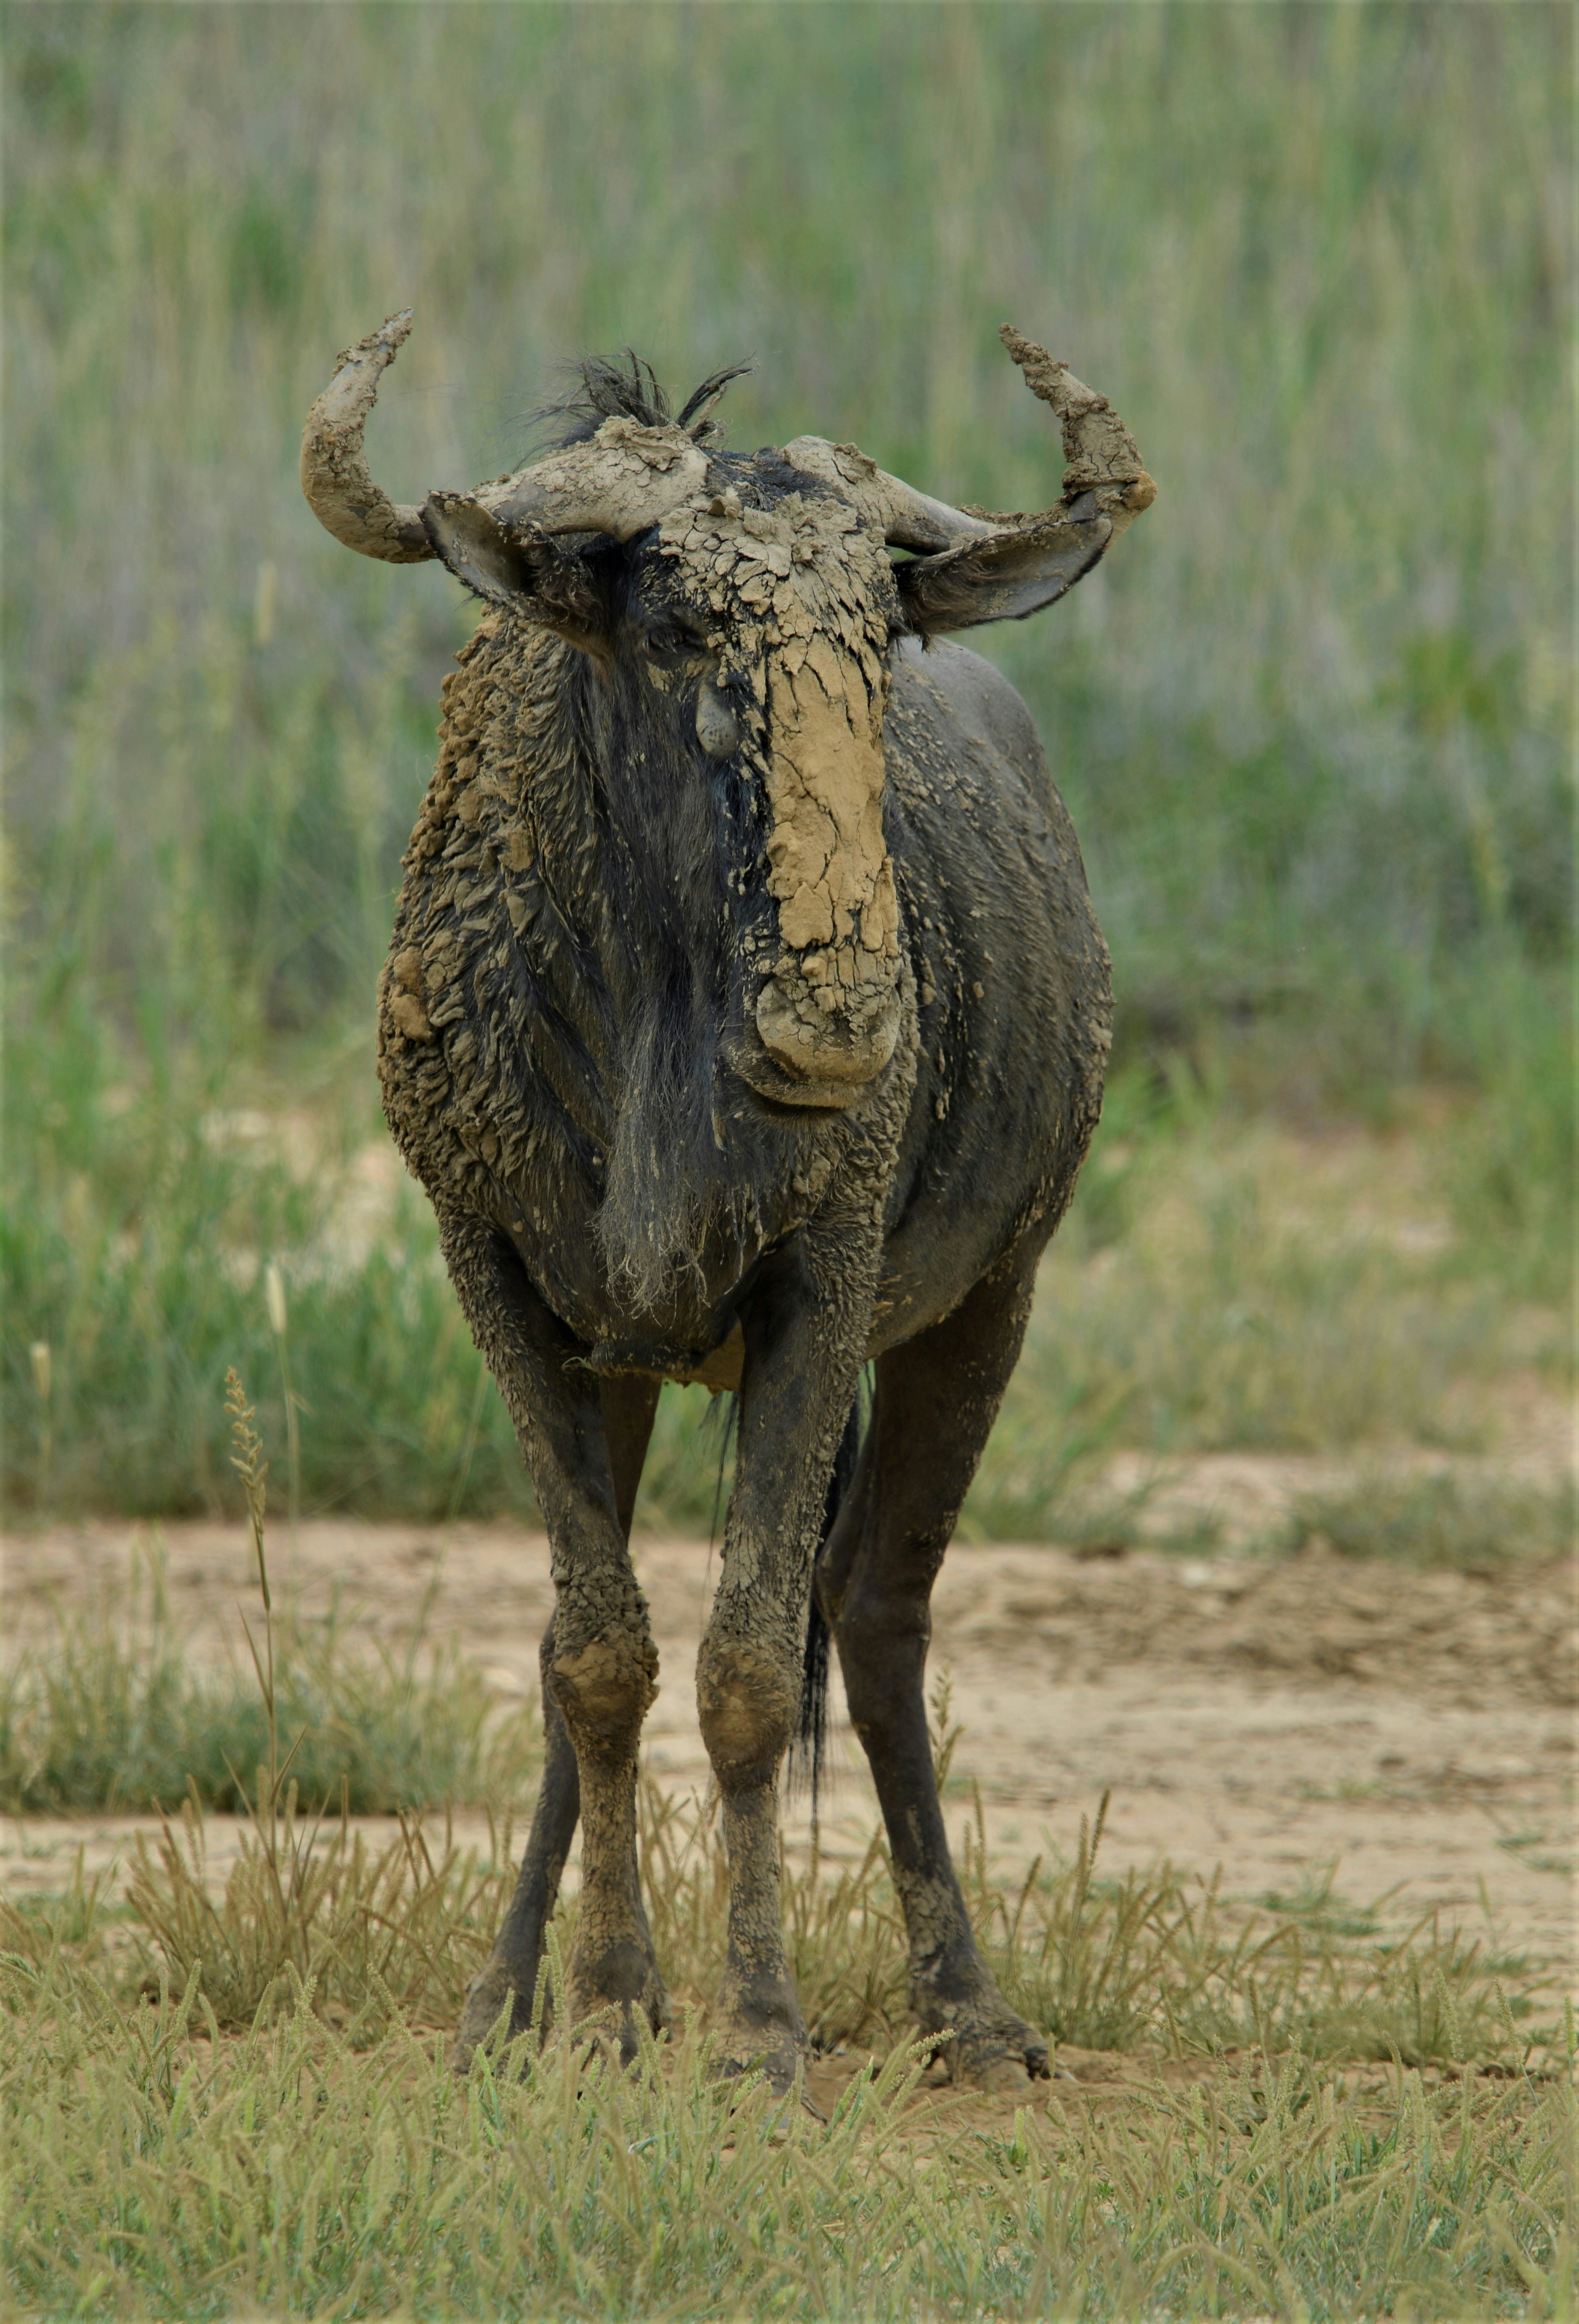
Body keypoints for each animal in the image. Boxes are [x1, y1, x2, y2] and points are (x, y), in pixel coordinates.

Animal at [300, 315, 1153, 2095]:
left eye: (877, 629)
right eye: (681, 624)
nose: (835, 1027)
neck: (650, 1034)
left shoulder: (817, 1293)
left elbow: (755, 1660)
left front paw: (758, 2031)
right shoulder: (502, 1283)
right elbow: (593, 1654)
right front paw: (600, 2001)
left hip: (990, 1305)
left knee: (880, 1615)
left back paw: (970, 2012)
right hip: (632, 1364)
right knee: (605, 1643)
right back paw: (510, 1996)